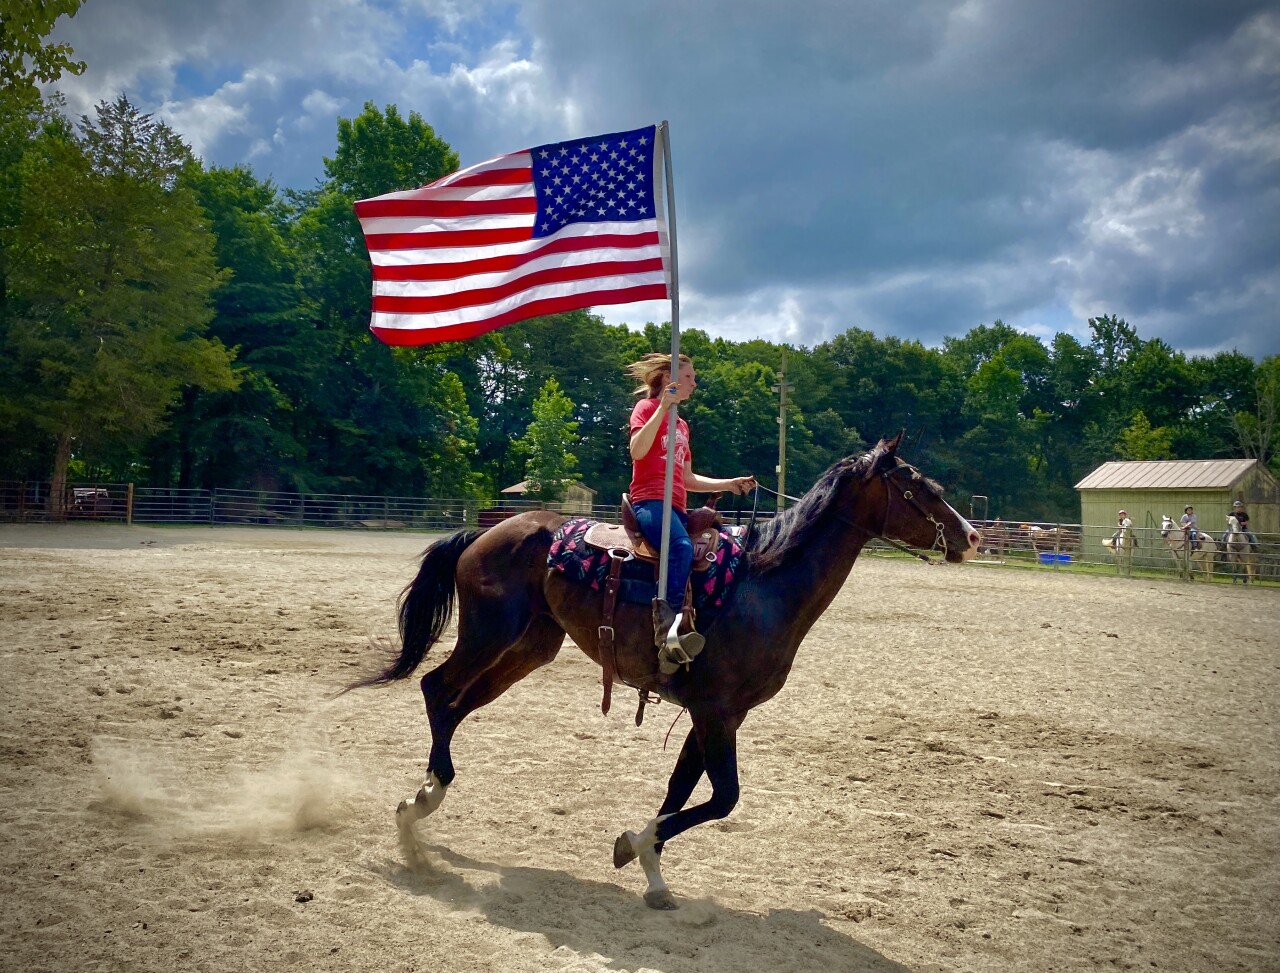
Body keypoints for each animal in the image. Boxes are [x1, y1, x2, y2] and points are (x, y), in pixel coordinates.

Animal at [350, 437, 977, 906]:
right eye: (919, 488)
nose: (970, 537)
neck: (762, 583)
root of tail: (488, 531)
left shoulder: (719, 714)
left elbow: (683, 789)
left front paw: (647, 861)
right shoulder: (716, 712)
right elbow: (722, 799)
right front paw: (638, 844)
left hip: (528, 649)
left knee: (455, 703)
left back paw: (420, 802)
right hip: (490, 637)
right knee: (436, 689)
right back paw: (425, 799)